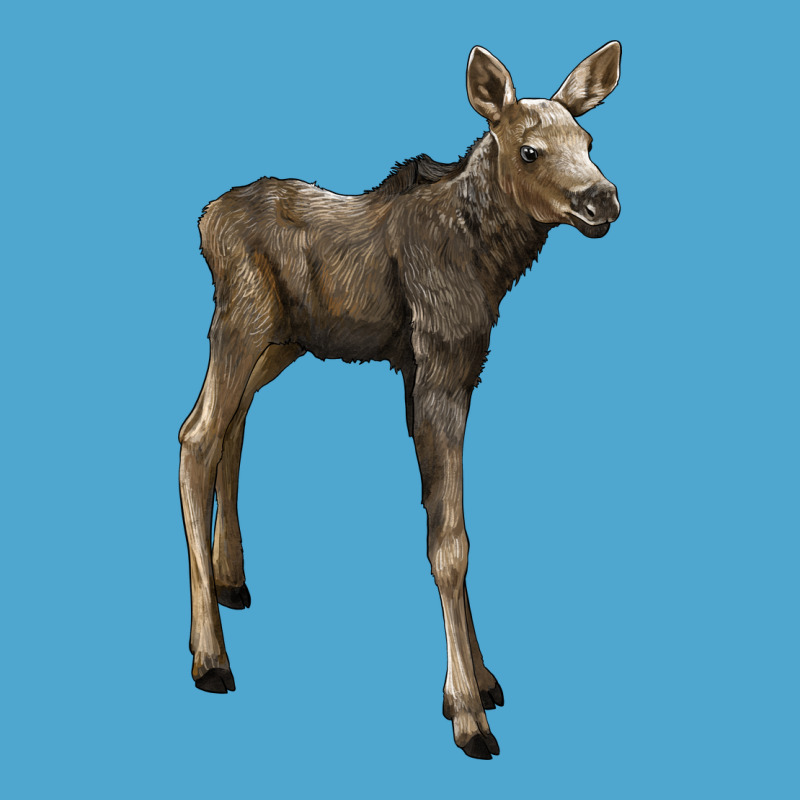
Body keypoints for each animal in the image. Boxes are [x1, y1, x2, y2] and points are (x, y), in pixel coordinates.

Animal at [178, 42, 621, 760]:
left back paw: (231, 580)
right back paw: (210, 657)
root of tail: (205, 218)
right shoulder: (438, 364)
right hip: (242, 320)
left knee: (232, 425)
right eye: (530, 150)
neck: (487, 261)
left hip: (283, 340)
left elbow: (449, 521)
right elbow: (450, 540)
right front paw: (468, 712)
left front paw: (480, 681)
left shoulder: (453, 370)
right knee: (196, 435)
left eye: (587, 140)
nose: (601, 197)